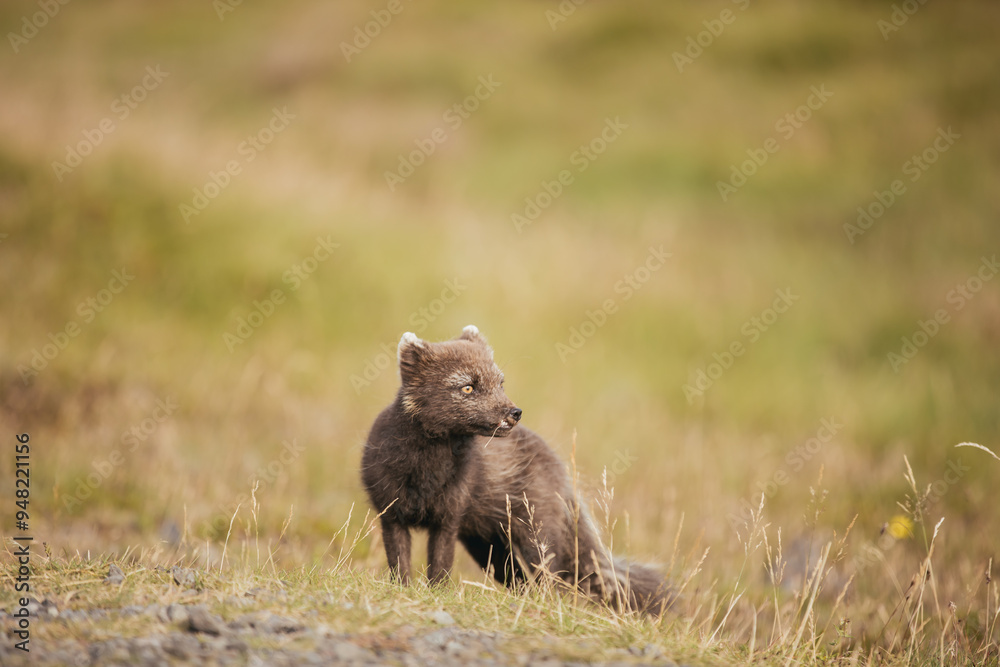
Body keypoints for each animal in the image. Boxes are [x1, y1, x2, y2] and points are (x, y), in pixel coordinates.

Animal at [361, 325, 671, 613]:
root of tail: (563, 474)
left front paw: (437, 594)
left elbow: (440, 565)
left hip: (533, 535)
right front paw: (403, 591)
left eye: (500, 381)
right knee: (521, 579)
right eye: (467, 386)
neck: (427, 474)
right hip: (489, 546)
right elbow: (399, 562)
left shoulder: (449, 516)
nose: (514, 412)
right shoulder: (391, 513)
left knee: (548, 578)